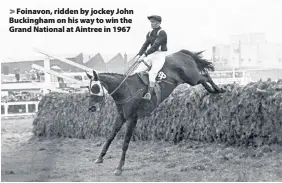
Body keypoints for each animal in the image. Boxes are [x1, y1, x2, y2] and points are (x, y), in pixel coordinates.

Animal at [85, 49, 225, 175]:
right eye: (88, 88)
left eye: (95, 87)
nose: (91, 108)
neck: (126, 89)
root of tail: (181, 53)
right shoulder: (121, 117)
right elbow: (110, 136)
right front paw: (100, 157)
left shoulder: (132, 119)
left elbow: (125, 143)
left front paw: (119, 168)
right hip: (191, 80)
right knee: (203, 80)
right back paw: (212, 90)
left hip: (192, 77)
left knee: (206, 76)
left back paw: (219, 89)